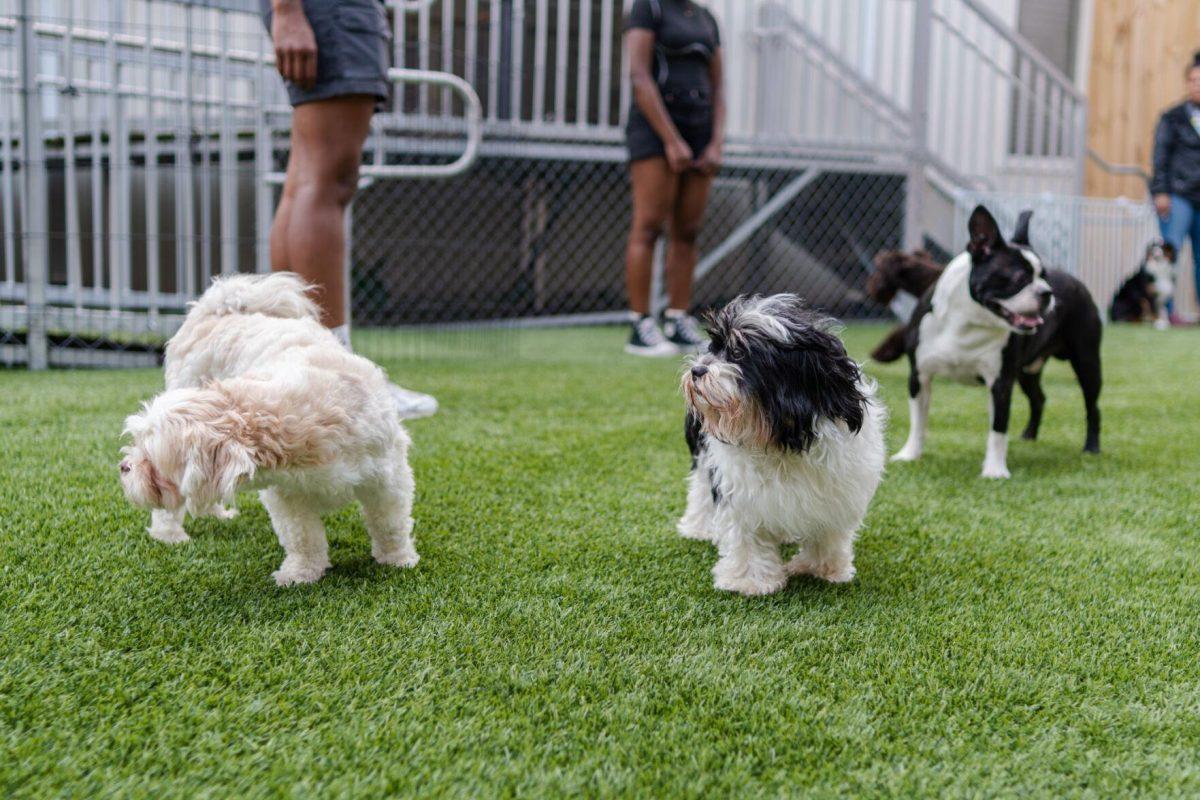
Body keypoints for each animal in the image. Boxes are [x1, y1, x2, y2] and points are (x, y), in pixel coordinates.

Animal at [121, 272, 420, 585]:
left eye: (152, 460)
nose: (124, 466)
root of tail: (217, 309)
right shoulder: (287, 495)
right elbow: (303, 538)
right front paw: (301, 573)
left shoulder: (388, 476)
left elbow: (390, 524)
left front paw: (398, 560)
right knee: (169, 509)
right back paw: (169, 535)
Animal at [681, 293, 888, 594]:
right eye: (714, 347)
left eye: (738, 353)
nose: (697, 370)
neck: (781, 436)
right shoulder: (739, 490)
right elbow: (747, 534)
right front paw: (749, 580)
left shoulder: (838, 488)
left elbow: (828, 532)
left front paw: (822, 568)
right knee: (700, 488)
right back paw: (699, 528)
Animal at [897, 208, 1099, 482]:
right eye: (1020, 278)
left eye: (1044, 277)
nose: (1048, 293)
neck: (967, 321)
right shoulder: (919, 376)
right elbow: (918, 421)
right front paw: (909, 454)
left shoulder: (1001, 382)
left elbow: (998, 429)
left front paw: (994, 470)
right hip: (1026, 372)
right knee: (1039, 398)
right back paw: (1029, 436)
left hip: (1087, 362)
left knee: (1092, 407)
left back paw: (1091, 448)